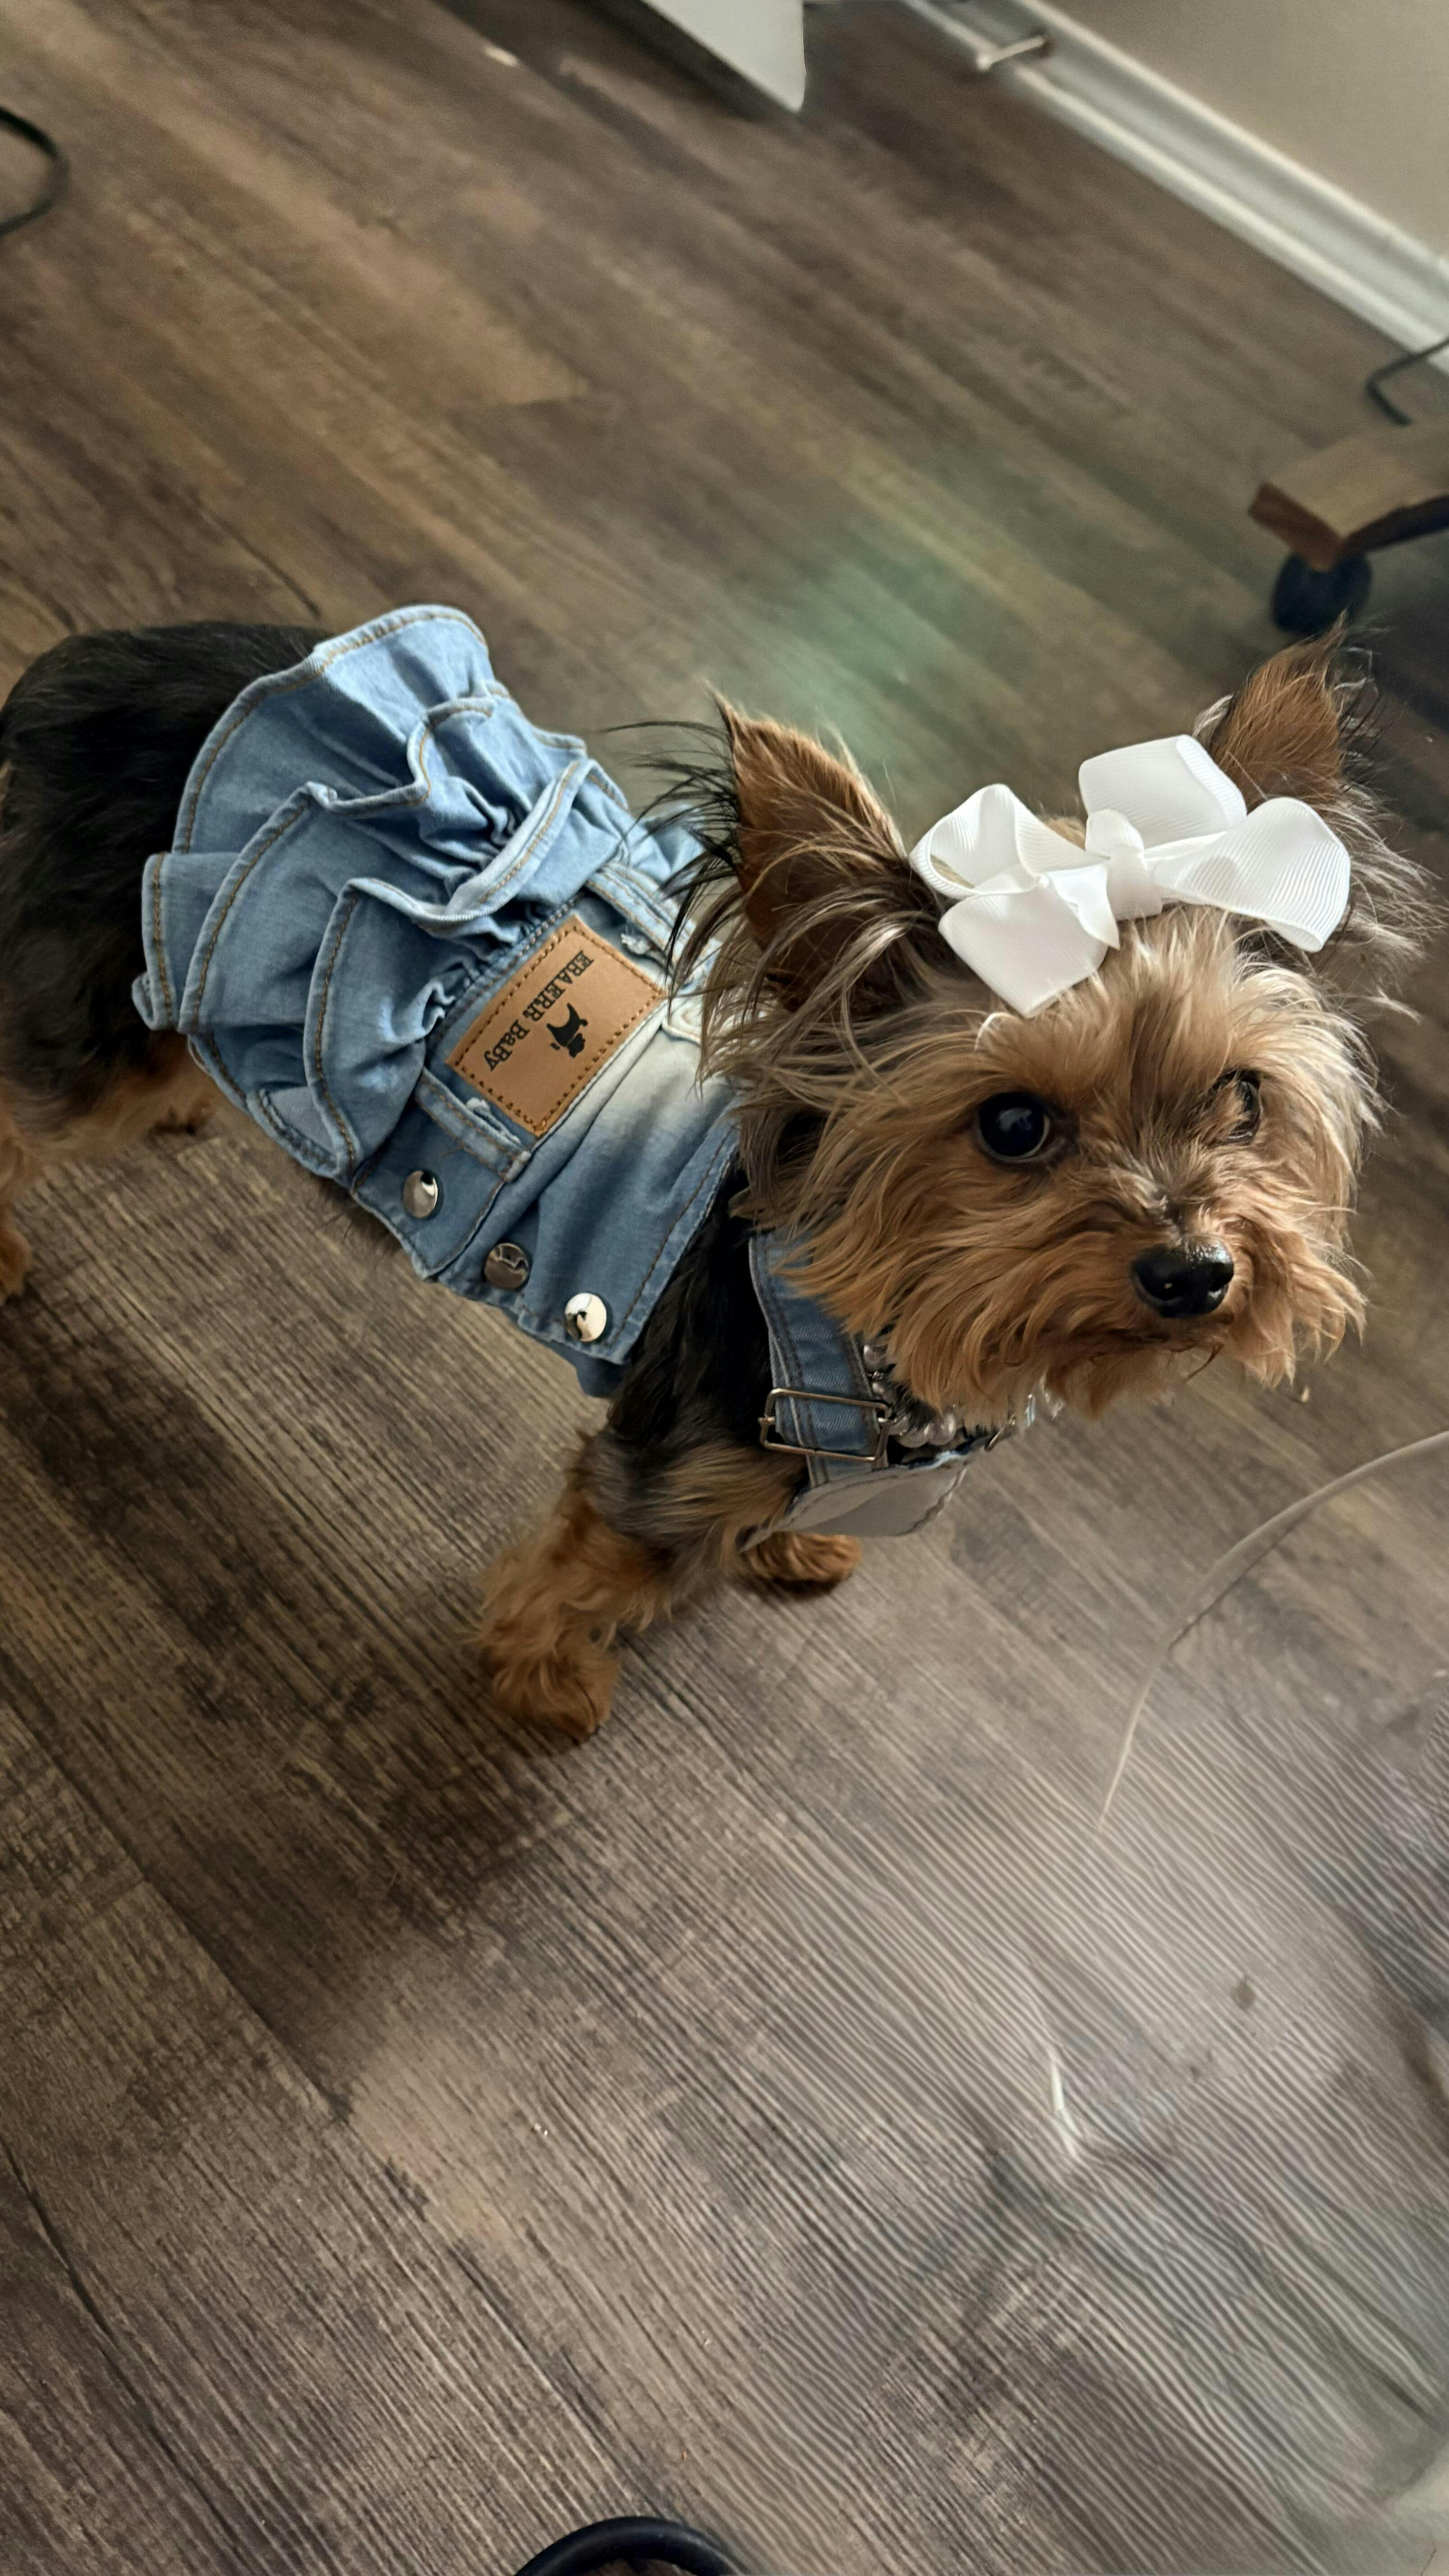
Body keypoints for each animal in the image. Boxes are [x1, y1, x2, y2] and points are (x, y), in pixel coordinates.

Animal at [0, 611, 1431, 1739]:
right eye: (1014, 1127)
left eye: (1241, 1099)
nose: (1195, 1272)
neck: (876, 1330)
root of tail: (97, 667)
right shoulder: (660, 1472)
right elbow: (593, 1573)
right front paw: (546, 1687)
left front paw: (794, 1542)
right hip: (94, 1030)